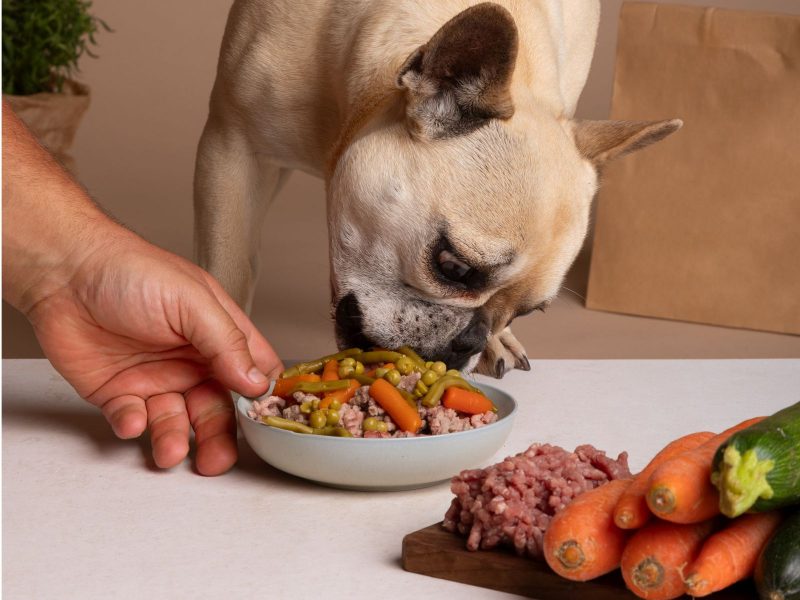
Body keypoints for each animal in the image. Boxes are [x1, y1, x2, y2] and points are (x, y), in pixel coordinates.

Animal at [192, 1, 676, 376]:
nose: (469, 341)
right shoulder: (233, 145)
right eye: (455, 268)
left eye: (524, 312)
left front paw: (497, 338)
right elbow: (229, 269)